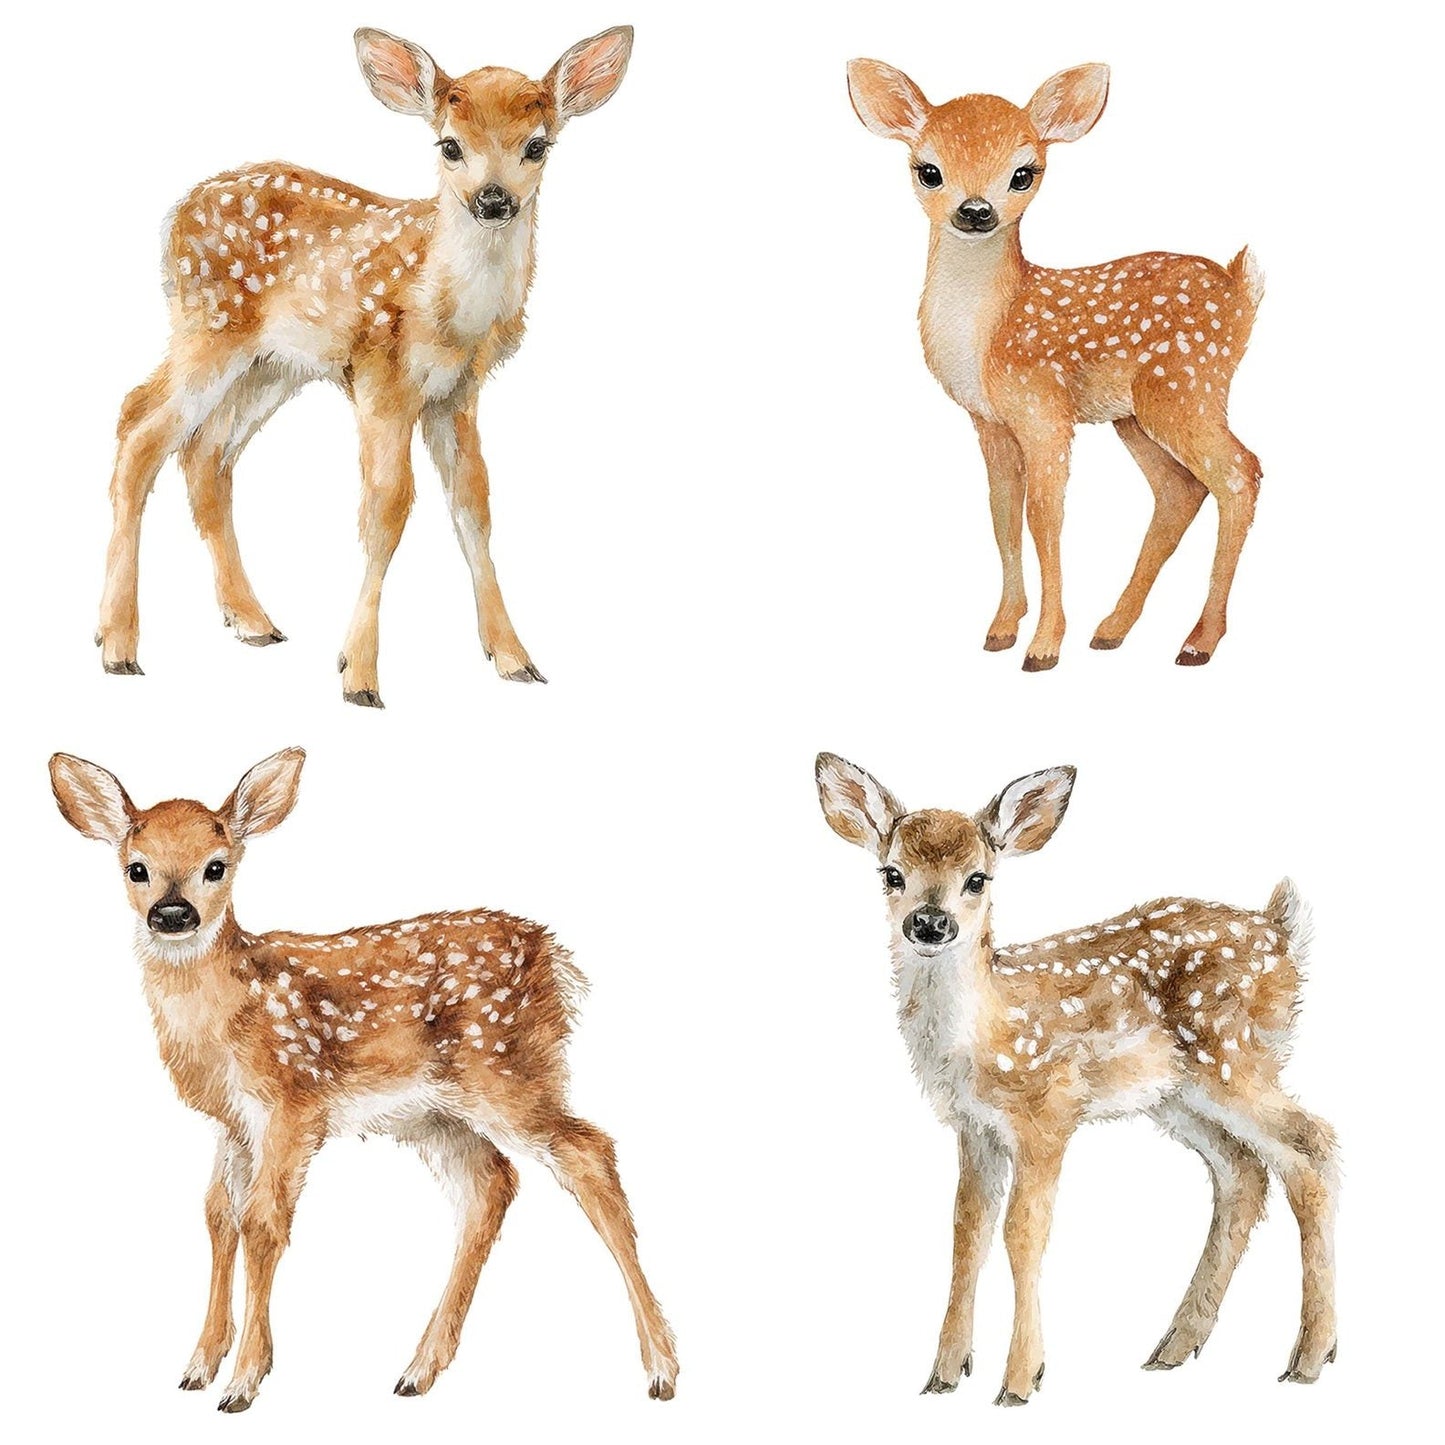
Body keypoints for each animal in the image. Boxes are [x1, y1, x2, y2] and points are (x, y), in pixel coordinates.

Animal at [48, 747, 678, 1411]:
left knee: (589, 1153)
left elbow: (262, 1222)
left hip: (507, 1070)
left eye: (216, 866)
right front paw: (198, 1366)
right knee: (491, 1185)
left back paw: (661, 1368)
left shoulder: (293, 1100)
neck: (229, 1007)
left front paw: (244, 1381)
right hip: (437, 1113)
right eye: (136, 868)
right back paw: (419, 1369)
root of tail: (552, 956)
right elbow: (219, 1215)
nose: (172, 914)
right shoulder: (232, 1120)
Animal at [97, 26, 635, 706]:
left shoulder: (458, 392)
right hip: (209, 328)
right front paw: (359, 675)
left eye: (537, 145)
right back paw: (118, 645)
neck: (447, 308)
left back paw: (251, 621)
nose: (493, 200)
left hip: (272, 365)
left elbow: (474, 504)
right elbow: (386, 507)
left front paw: (514, 658)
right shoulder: (384, 377)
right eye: (450, 145)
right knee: (138, 425)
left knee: (206, 454)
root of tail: (176, 214)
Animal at [815, 752, 1336, 1405]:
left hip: (1234, 1058)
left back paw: (1310, 1357)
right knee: (1242, 1171)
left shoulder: (1049, 1109)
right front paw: (944, 1374)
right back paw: (1175, 1347)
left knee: (1312, 1145)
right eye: (892, 873)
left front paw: (1019, 1380)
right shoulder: (974, 1128)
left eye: (977, 879)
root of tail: (1283, 933)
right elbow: (967, 1232)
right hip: (1177, 1094)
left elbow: (1023, 1232)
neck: (986, 1033)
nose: (929, 923)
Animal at [846, 60, 1264, 671]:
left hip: (1186, 384)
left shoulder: (1044, 408)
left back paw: (1198, 640)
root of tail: (1241, 291)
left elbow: (1045, 516)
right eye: (928, 170)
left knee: (1239, 472)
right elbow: (1002, 511)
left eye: (1025, 173)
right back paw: (1113, 628)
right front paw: (1002, 628)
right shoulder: (991, 421)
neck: (989, 333)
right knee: (1180, 489)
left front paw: (1043, 646)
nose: (976, 211)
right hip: (1134, 414)